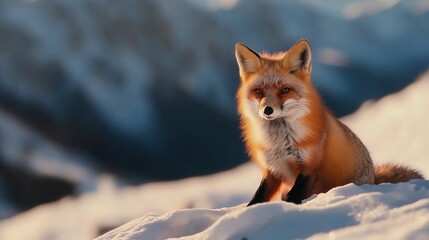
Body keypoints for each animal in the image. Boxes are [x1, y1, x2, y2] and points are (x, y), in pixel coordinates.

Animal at [236, 38, 422, 205]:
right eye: (258, 91)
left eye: (285, 90)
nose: (268, 110)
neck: (279, 143)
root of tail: (373, 179)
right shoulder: (273, 170)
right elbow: (256, 200)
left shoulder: (309, 167)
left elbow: (291, 198)